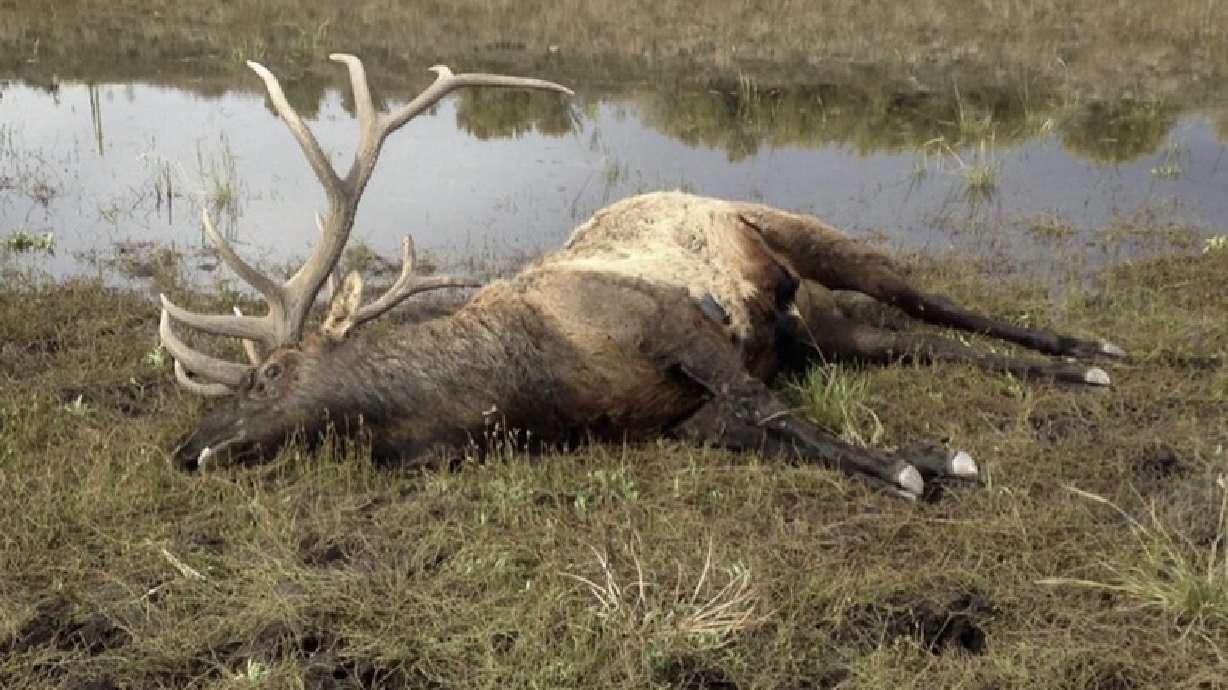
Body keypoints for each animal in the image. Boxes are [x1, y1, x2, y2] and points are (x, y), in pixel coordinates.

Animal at [159, 54, 1126, 500]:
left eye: (266, 375)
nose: (184, 447)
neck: (524, 388)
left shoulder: (676, 331)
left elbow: (776, 414)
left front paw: (905, 466)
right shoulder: (681, 421)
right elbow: (776, 428)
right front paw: (932, 457)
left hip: (803, 238)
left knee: (930, 297)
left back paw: (1091, 351)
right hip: (822, 328)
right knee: (908, 340)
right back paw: (1070, 370)